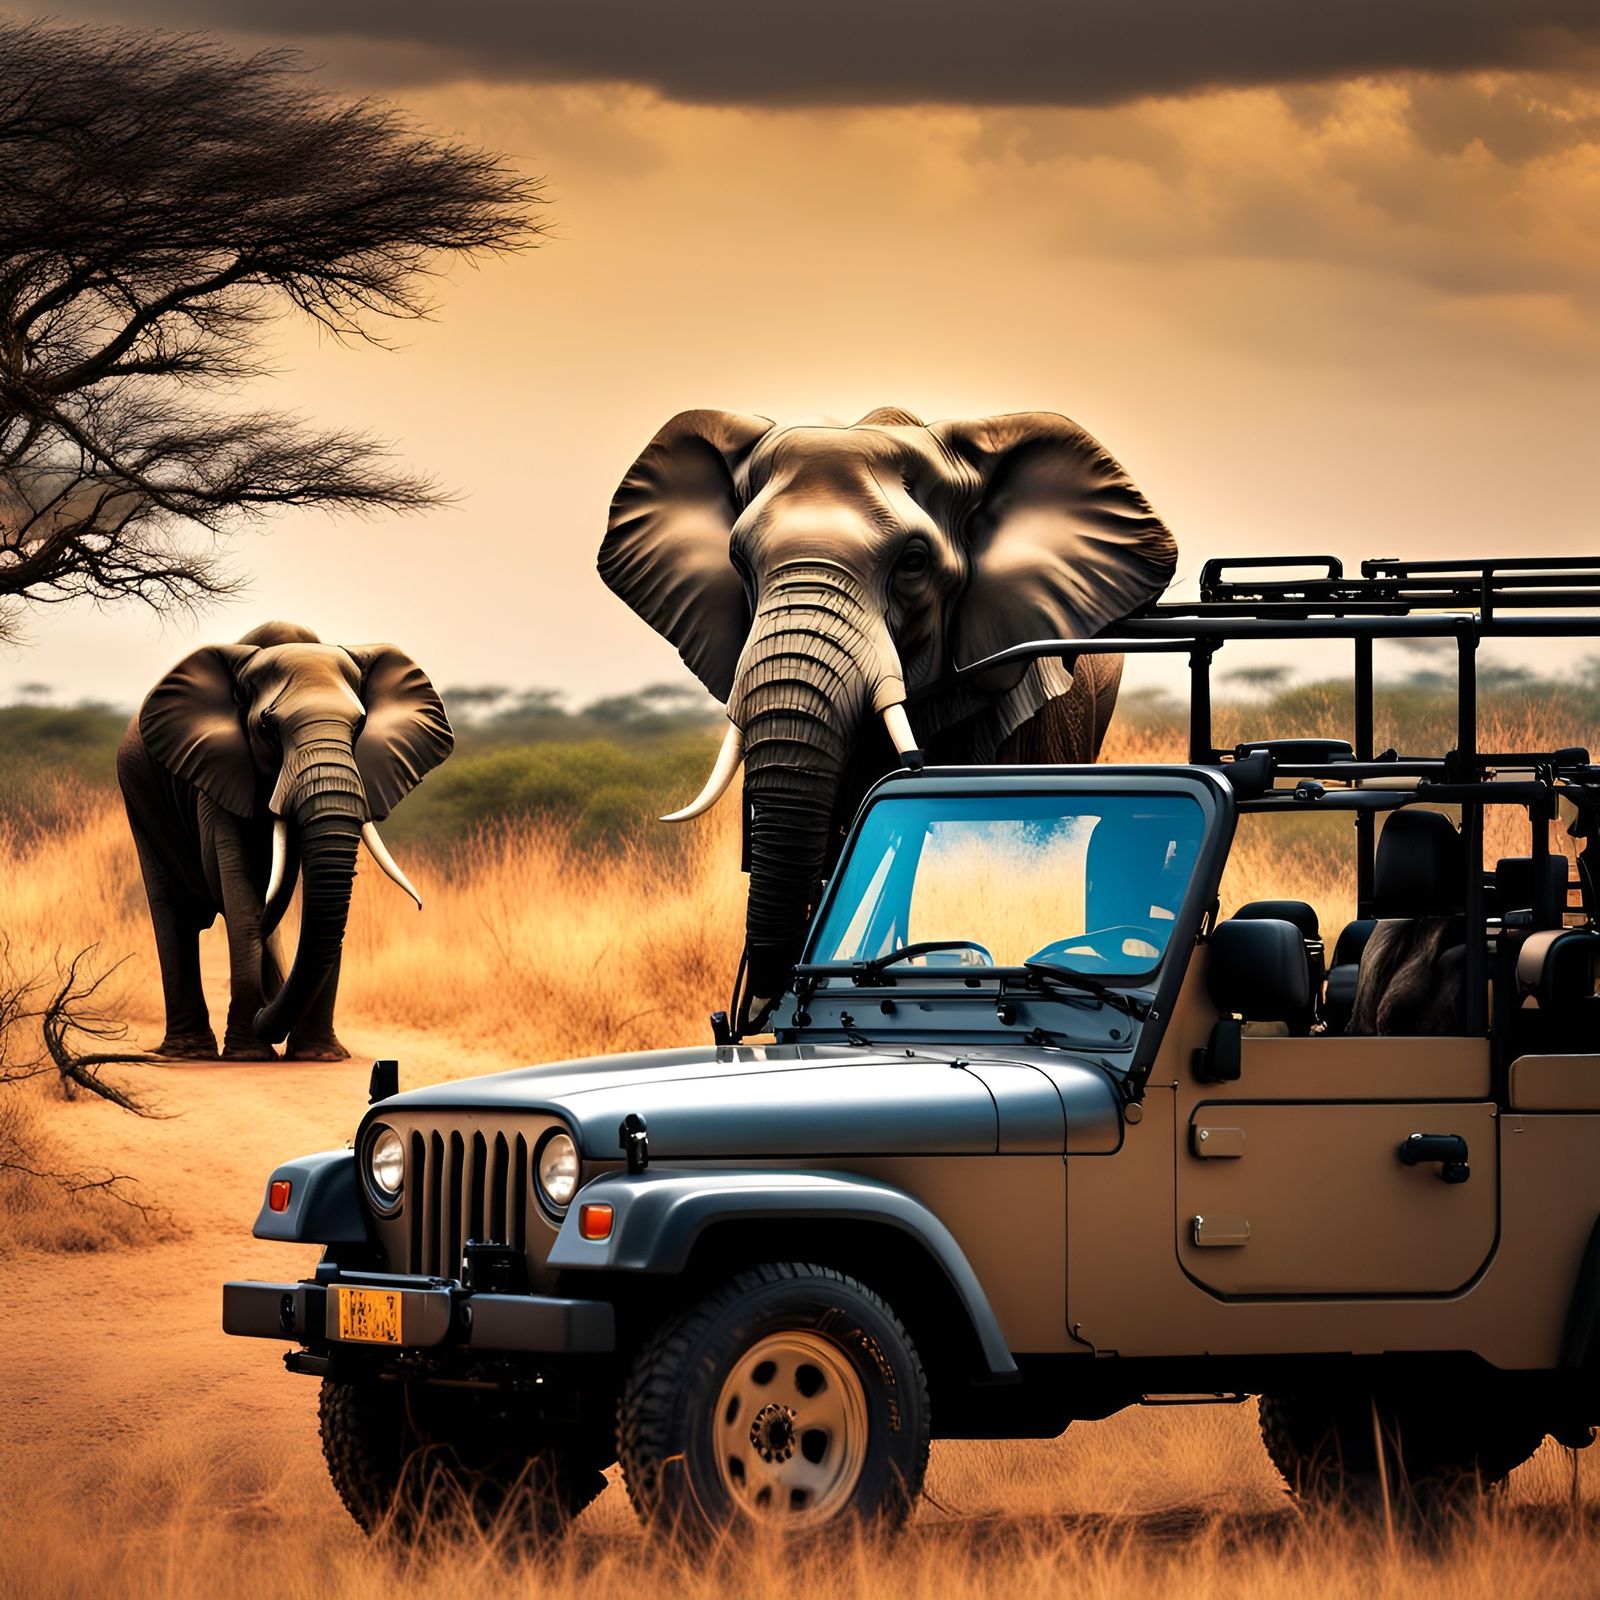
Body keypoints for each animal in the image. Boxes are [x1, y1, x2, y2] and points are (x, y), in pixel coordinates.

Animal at [116, 621, 453, 1061]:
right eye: (267, 728)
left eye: (359, 726)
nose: (266, 1022)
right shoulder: (217, 771)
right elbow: (239, 888)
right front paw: (248, 1054)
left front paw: (319, 1056)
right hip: (140, 799)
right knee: (175, 912)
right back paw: (190, 1052)